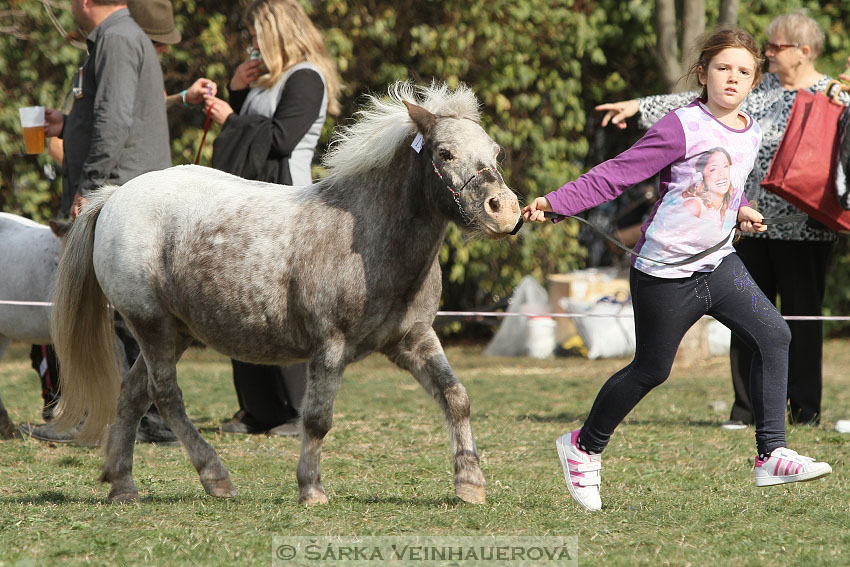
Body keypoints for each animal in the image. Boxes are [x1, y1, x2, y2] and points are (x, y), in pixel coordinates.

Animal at [53, 80, 520, 506]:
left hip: (175, 331)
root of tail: (116, 196)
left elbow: (456, 397)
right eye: (444, 153)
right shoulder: (329, 346)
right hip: (151, 325)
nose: (506, 212)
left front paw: (470, 484)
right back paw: (215, 477)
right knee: (166, 397)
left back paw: (122, 486)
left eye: (496, 152)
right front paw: (311, 490)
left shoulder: (413, 340)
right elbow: (316, 420)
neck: (368, 238)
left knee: (134, 393)